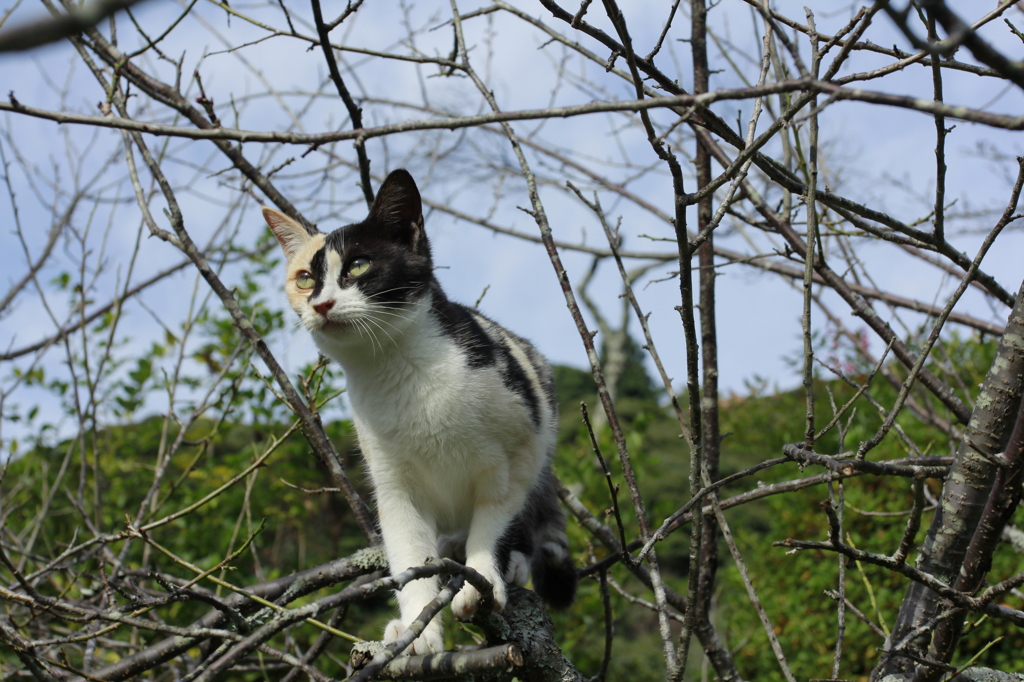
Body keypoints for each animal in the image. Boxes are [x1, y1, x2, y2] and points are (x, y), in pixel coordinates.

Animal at [262, 169, 577, 655]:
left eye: (358, 266)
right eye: (303, 278)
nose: (320, 304)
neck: (398, 369)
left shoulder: (522, 449)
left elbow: (494, 520)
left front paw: (484, 577)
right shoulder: (392, 484)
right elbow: (409, 555)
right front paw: (417, 627)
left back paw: (512, 562)